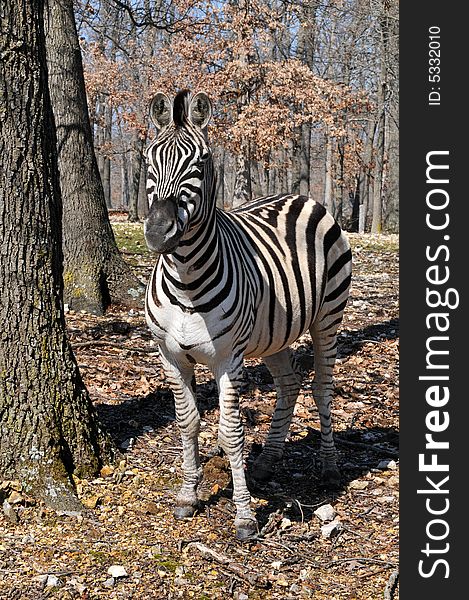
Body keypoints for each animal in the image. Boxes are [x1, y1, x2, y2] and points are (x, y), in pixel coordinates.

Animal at [143, 88, 352, 540]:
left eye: (201, 162)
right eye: (148, 159)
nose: (157, 232)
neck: (186, 279)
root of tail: (300, 196)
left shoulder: (229, 360)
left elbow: (231, 432)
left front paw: (244, 516)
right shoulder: (170, 356)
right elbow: (187, 422)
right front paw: (188, 496)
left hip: (328, 318)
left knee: (321, 388)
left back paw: (329, 468)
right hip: (275, 331)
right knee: (290, 384)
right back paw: (268, 462)